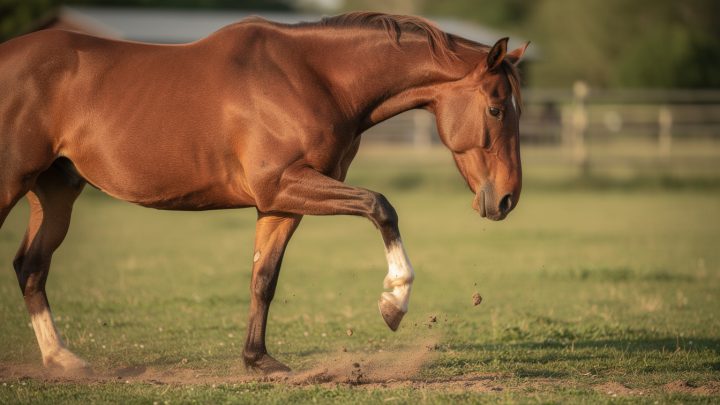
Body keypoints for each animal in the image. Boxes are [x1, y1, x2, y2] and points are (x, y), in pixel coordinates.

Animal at [0, 12, 527, 375]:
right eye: (497, 109)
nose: (507, 199)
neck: (313, 78)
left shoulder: (279, 204)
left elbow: (264, 278)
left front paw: (258, 360)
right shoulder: (285, 185)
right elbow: (381, 206)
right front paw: (394, 301)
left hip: (56, 191)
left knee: (31, 266)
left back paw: (63, 360)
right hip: (10, 184)